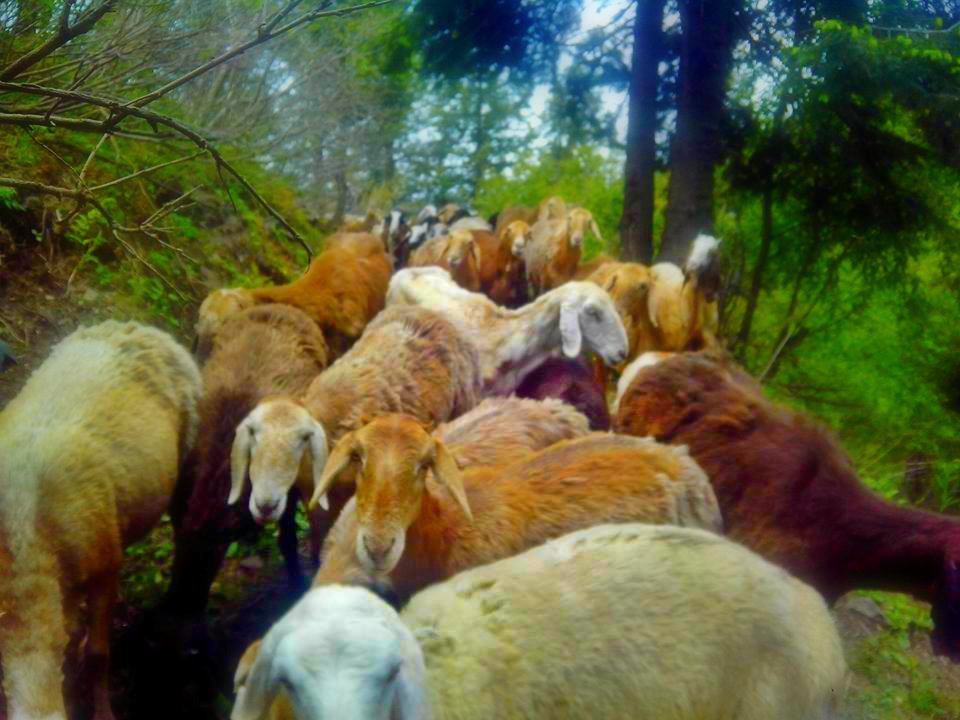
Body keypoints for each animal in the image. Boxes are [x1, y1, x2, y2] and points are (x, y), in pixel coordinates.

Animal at [163, 304, 332, 620]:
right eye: (176, 539)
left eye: (217, 551)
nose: (182, 607)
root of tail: (280, 306)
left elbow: (288, 538)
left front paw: (297, 582)